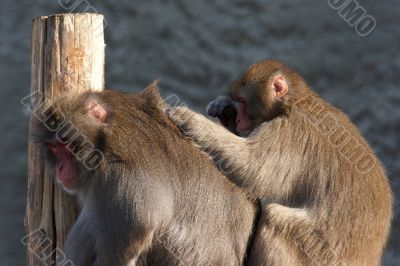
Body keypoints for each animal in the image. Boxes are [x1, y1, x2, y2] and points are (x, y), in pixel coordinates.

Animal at [32, 81, 260, 266]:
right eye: (53, 147)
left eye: (65, 143)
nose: (60, 168)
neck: (105, 143)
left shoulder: (121, 180)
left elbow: (136, 230)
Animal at [166, 60, 394, 266]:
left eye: (243, 101)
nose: (239, 119)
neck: (295, 102)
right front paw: (225, 110)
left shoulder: (288, 132)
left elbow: (249, 166)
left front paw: (188, 118)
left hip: (316, 253)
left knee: (276, 217)